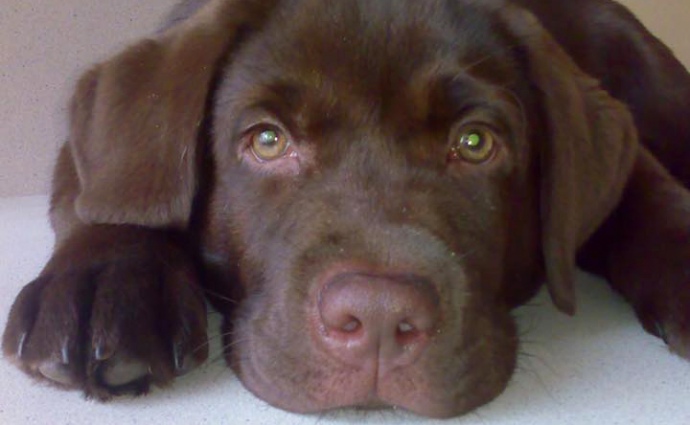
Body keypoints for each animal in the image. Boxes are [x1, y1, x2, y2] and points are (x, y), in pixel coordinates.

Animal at [3, 0, 690, 418]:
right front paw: (105, 284)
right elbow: (118, 190)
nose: (381, 318)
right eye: (268, 140)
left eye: (475, 143)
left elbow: (648, 188)